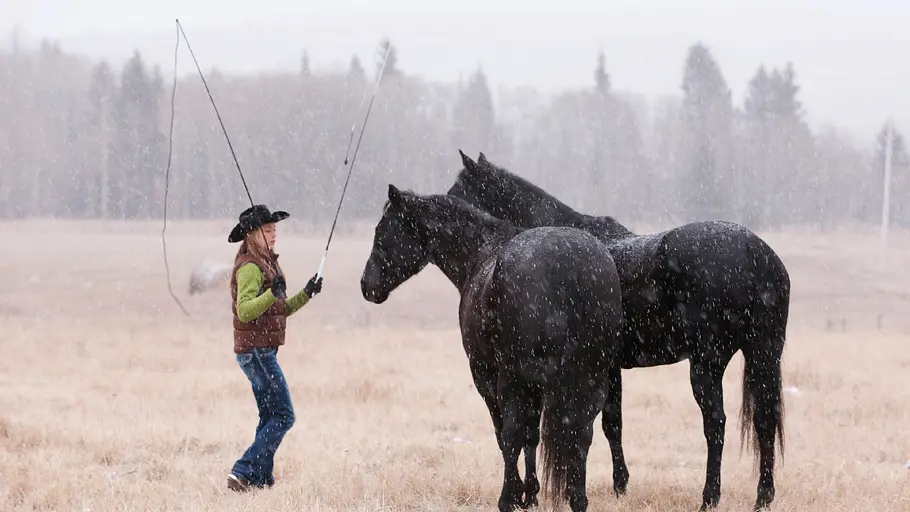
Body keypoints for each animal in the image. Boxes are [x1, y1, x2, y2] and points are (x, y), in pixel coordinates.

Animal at [360, 184, 625, 512]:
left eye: (382, 230)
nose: (366, 285)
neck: (482, 254)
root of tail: (568, 261)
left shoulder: (485, 375)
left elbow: (507, 435)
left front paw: (518, 494)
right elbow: (532, 437)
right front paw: (531, 494)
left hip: (514, 378)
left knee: (512, 432)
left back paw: (506, 499)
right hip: (593, 378)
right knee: (583, 432)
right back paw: (577, 498)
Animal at [446, 151, 791, 512]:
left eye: (459, 192)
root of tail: (757, 254)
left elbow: (603, 424)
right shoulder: (608, 369)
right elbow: (612, 424)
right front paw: (619, 484)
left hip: (708, 363)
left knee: (715, 423)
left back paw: (709, 496)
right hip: (764, 353)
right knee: (765, 418)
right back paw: (763, 496)